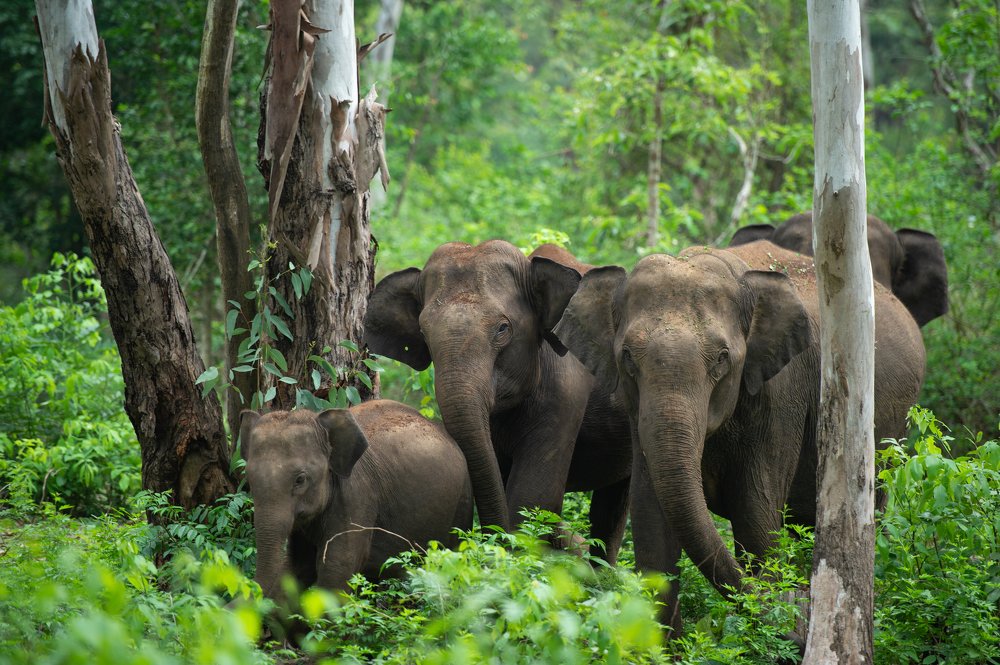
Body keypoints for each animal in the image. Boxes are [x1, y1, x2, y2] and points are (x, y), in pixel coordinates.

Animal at [240, 399, 472, 600]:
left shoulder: (357, 497)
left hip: (462, 502)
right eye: (249, 479)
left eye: (300, 480)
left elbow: (336, 572)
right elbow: (297, 568)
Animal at [551, 240, 925, 632]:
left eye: (721, 358)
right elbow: (652, 520)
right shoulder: (637, 415)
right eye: (626, 357)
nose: (798, 617)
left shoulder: (781, 399)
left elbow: (755, 517)